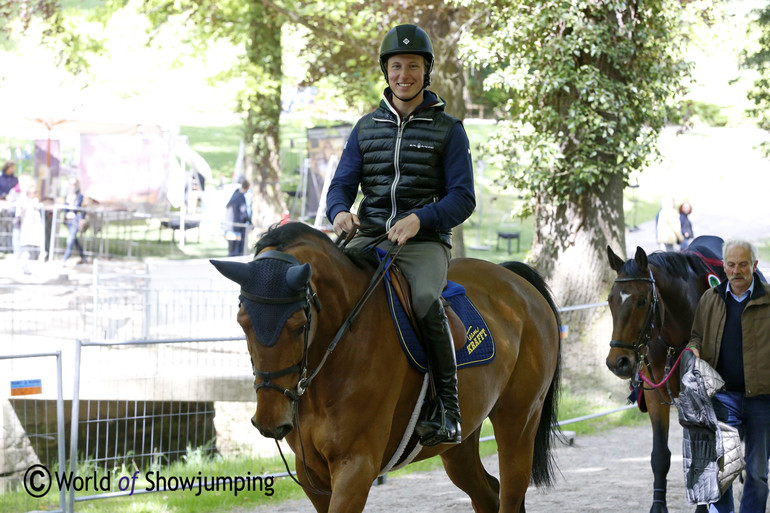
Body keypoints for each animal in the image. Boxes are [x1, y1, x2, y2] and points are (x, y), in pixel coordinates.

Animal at [210, 223, 560, 512]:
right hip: (459, 445)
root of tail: (513, 279)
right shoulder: (311, 473)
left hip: (518, 423)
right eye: (242, 321)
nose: (270, 421)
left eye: (299, 325)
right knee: (488, 494)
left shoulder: (356, 466)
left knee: (510, 491)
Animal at [608, 244, 720, 512]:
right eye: (610, 300)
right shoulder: (654, 393)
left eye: (641, 301)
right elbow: (660, 455)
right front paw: (658, 505)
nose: (618, 361)